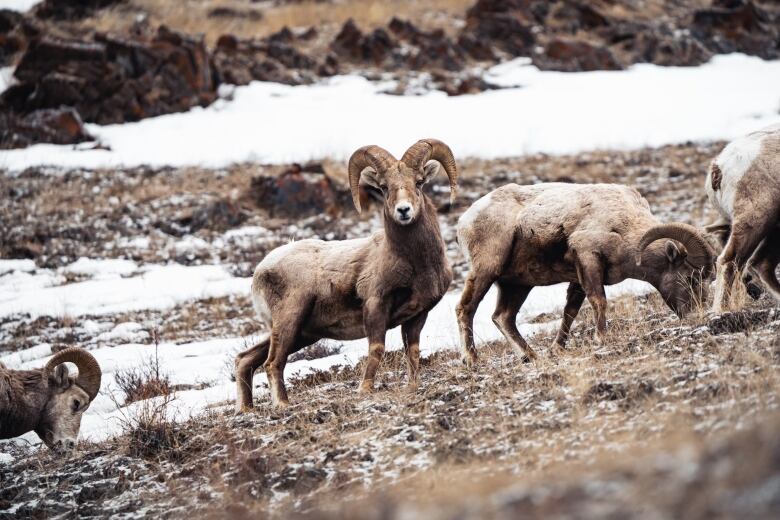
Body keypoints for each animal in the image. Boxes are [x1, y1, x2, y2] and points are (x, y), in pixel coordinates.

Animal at [235, 138, 460, 410]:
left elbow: (413, 352)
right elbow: (376, 349)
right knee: (272, 363)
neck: (415, 264)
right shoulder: (375, 306)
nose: (404, 210)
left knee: (245, 360)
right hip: (288, 322)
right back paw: (283, 405)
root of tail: (261, 270)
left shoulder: (417, 315)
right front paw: (364, 390)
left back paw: (247, 409)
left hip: (301, 334)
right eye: (384, 187)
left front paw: (413, 386)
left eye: (418, 182)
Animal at [454, 183, 716, 366]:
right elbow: (599, 301)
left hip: (518, 285)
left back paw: (531, 356)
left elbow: (570, 312)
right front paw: (601, 340)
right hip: (486, 271)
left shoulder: (577, 278)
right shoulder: (588, 259)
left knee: (503, 317)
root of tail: (464, 220)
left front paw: (557, 349)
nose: (697, 312)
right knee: (466, 309)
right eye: (692, 277)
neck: (624, 226)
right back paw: (472, 360)